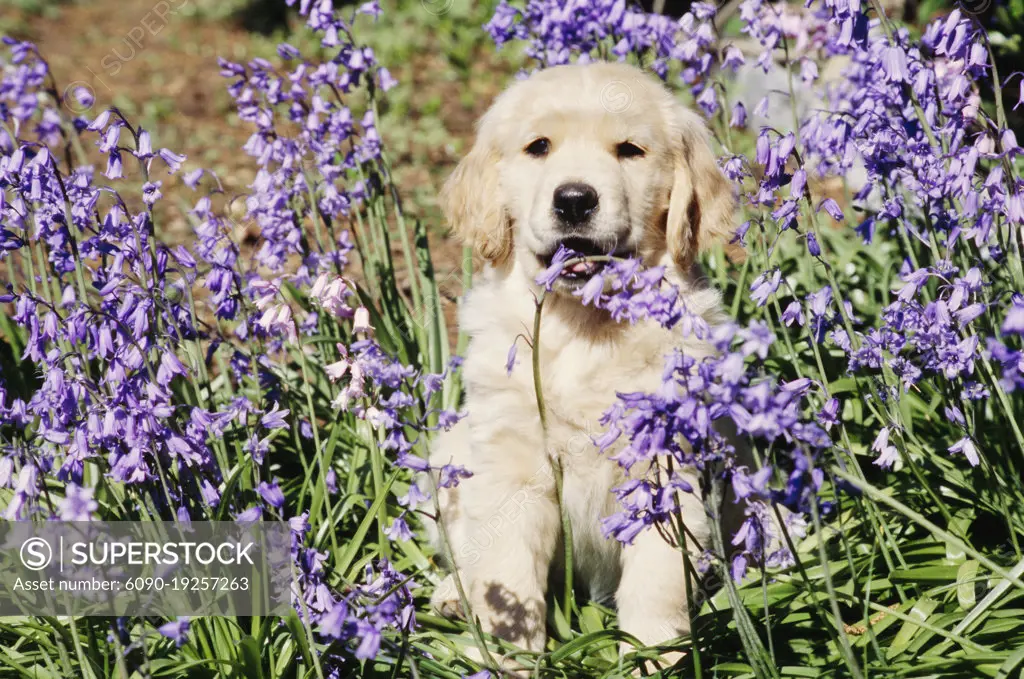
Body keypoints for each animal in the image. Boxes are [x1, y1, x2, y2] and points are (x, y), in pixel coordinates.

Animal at [428, 62, 741, 667]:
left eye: (630, 150)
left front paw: (653, 659)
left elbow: (657, 582)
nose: (574, 200)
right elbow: (506, 575)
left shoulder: (664, 467)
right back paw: (455, 595)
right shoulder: (510, 464)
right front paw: (508, 659)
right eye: (539, 147)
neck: (586, 325)